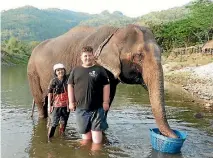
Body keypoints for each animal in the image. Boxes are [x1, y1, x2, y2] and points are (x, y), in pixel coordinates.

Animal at [27, 24, 177, 138]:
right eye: (138, 56)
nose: (176, 136)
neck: (115, 31)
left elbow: (107, 98)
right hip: (32, 73)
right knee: (41, 102)